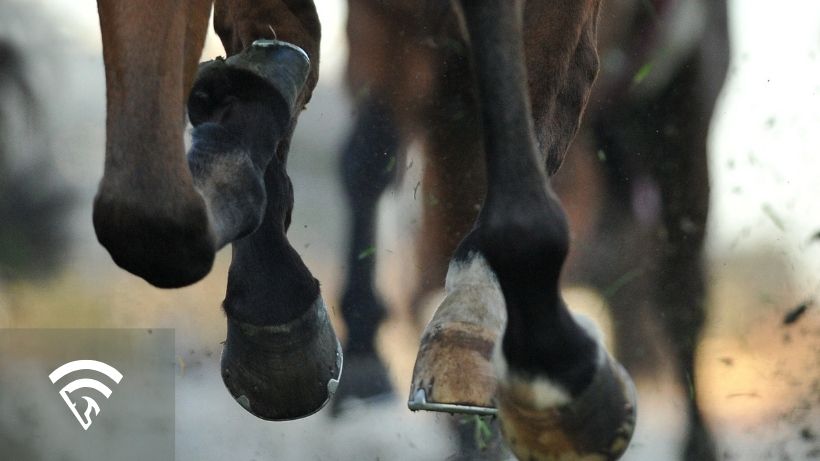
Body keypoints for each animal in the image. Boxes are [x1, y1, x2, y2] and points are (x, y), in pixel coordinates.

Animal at [334, 0, 729, 459]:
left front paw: (551, 364)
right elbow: (366, 156)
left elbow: (534, 107)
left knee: (681, 290)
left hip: (682, 117)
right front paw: (363, 359)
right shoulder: (384, 22)